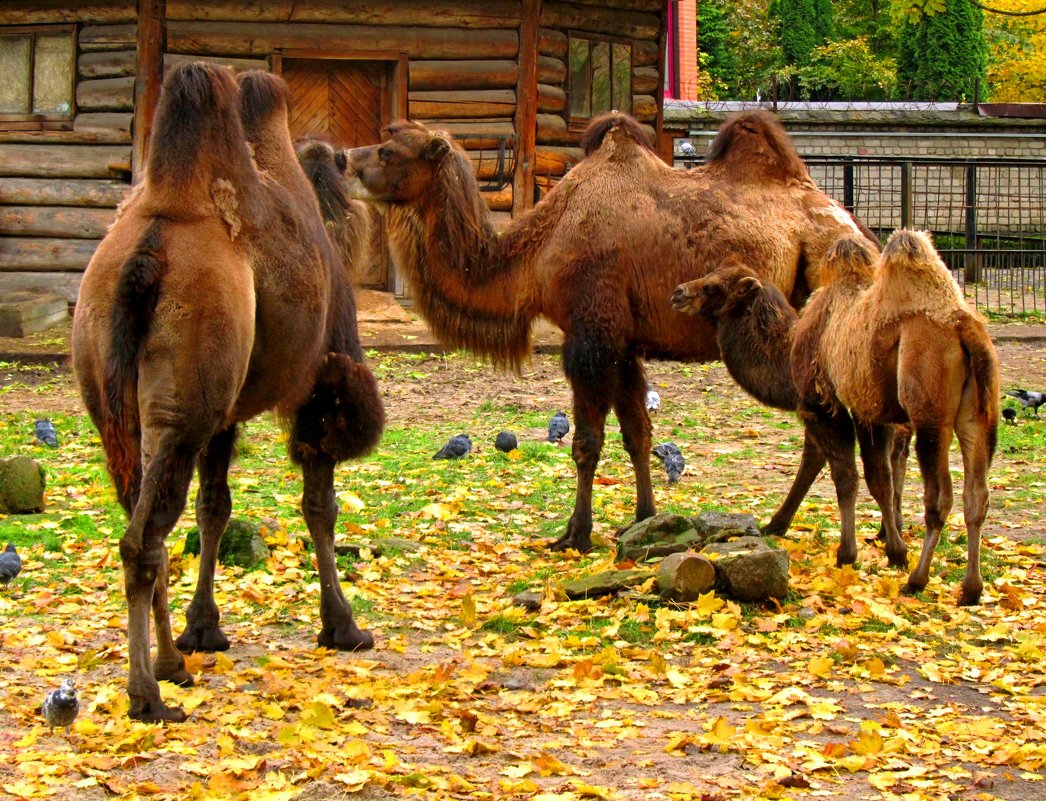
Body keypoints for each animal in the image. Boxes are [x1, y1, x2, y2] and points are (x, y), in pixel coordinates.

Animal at [72, 64, 384, 727]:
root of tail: (145, 258)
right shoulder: (321, 385)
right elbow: (320, 506)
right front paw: (343, 627)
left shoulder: (224, 416)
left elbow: (214, 508)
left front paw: (205, 629)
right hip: (183, 404)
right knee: (144, 539)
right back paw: (150, 692)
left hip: (119, 401)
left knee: (144, 522)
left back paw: (171, 664)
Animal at [343, 109, 874, 556]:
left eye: (389, 151)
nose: (342, 158)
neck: (539, 251)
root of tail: (857, 228)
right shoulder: (623, 343)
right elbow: (638, 435)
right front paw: (645, 520)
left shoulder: (590, 335)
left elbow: (586, 443)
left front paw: (574, 535)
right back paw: (777, 524)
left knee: (821, 435)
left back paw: (782, 525)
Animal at [794, 232, 999, 610]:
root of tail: (965, 329)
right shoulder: (873, 413)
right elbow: (883, 480)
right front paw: (891, 549)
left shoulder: (829, 405)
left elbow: (854, 477)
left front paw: (853, 554)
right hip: (979, 417)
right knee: (976, 495)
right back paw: (971, 589)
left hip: (931, 416)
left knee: (939, 498)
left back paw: (917, 580)